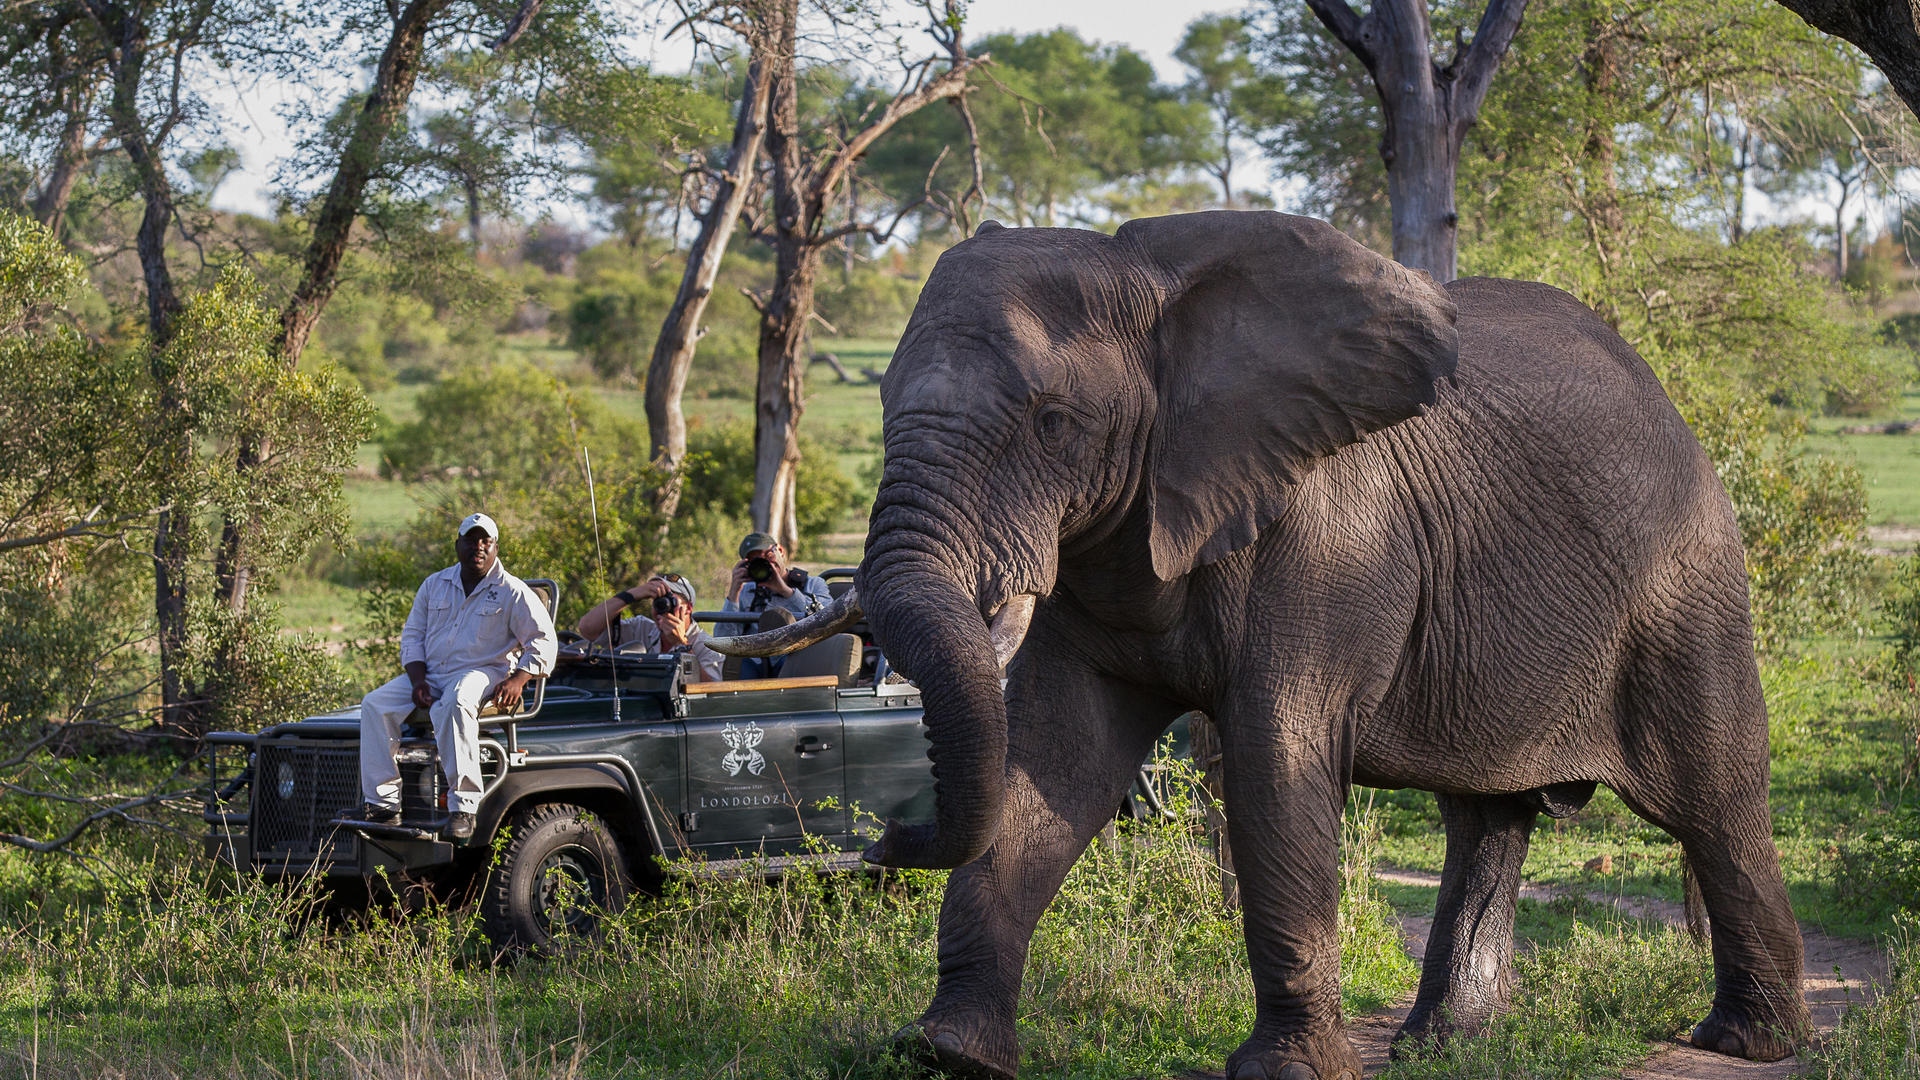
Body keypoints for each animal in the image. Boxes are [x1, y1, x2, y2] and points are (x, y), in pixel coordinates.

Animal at [714, 210, 1804, 1076]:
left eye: (1053, 421)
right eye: (883, 401)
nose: (883, 840)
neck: (1156, 285)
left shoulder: (1326, 544)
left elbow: (1277, 765)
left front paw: (1286, 1072)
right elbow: (1054, 763)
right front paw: (946, 1054)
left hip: (1686, 580)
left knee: (1713, 798)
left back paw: (1747, 1042)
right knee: (1487, 817)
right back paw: (1442, 1047)